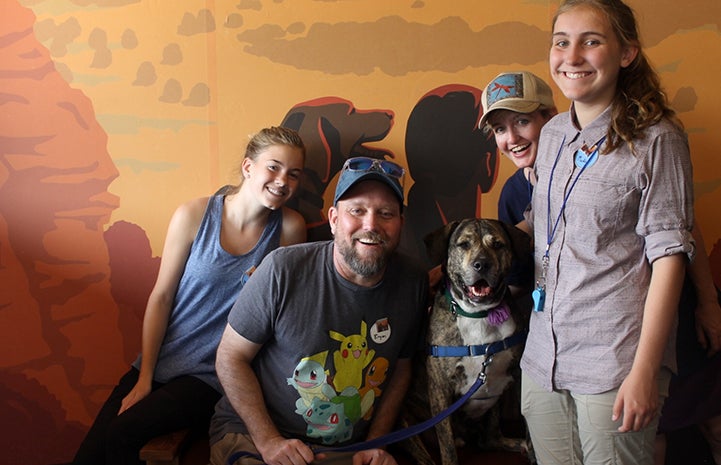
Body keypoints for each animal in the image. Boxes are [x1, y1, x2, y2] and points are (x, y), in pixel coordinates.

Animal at [400, 218, 536, 464]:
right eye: (464, 244)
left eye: (498, 245)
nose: (481, 264)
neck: (479, 314)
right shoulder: (440, 388)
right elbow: (447, 447)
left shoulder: (520, 376)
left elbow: (531, 429)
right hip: (406, 422)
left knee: (489, 440)